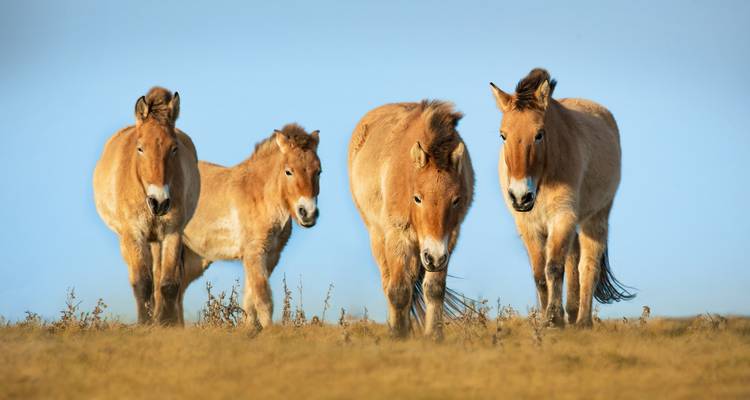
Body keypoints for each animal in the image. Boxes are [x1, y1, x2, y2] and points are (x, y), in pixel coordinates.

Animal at [93, 87, 200, 326]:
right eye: (140, 148)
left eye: (174, 148)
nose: (159, 202)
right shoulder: (134, 234)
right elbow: (142, 282)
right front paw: (145, 324)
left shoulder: (172, 233)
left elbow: (168, 283)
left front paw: (167, 324)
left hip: (157, 240)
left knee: (161, 276)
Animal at [180, 123, 321, 329]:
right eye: (288, 171)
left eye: (319, 171)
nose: (308, 213)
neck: (260, 197)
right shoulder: (255, 253)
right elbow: (263, 300)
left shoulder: (270, 256)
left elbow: (250, 301)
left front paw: (248, 330)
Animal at [348, 100, 474, 339]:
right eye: (417, 198)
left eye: (455, 200)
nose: (434, 257)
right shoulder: (399, 236)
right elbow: (399, 290)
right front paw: (399, 336)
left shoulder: (448, 240)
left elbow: (434, 289)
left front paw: (434, 336)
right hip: (379, 237)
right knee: (389, 282)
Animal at [490, 68, 634, 327]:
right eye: (503, 135)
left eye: (539, 134)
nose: (521, 196)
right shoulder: (528, 225)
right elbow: (539, 274)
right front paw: (547, 317)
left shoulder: (562, 217)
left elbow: (554, 268)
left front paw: (553, 318)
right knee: (573, 260)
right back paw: (572, 312)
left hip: (595, 218)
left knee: (588, 266)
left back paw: (583, 321)